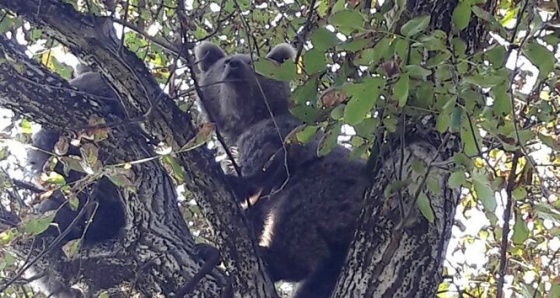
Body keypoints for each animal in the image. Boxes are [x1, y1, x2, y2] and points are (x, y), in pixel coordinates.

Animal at [195, 41, 370, 298]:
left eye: (253, 62)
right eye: (224, 61)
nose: (234, 65)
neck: (246, 120)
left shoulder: (280, 132)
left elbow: (268, 166)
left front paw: (237, 182)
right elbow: (253, 212)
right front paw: (215, 248)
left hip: (332, 187)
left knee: (295, 220)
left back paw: (273, 259)